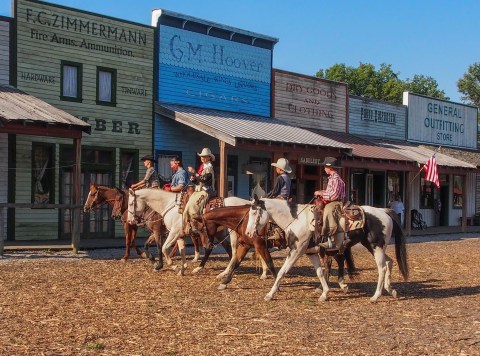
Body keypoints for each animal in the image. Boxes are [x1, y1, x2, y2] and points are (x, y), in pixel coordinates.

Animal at [246, 197, 406, 304]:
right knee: (389, 262)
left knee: (382, 268)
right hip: (374, 246)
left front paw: (270, 294)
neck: (297, 219)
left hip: (375, 246)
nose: (248, 233)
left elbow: (282, 272)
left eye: (254, 213)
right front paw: (324, 293)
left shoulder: (296, 251)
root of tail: (384, 212)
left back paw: (375, 296)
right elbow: (320, 272)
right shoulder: (311, 252)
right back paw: (391, 290)